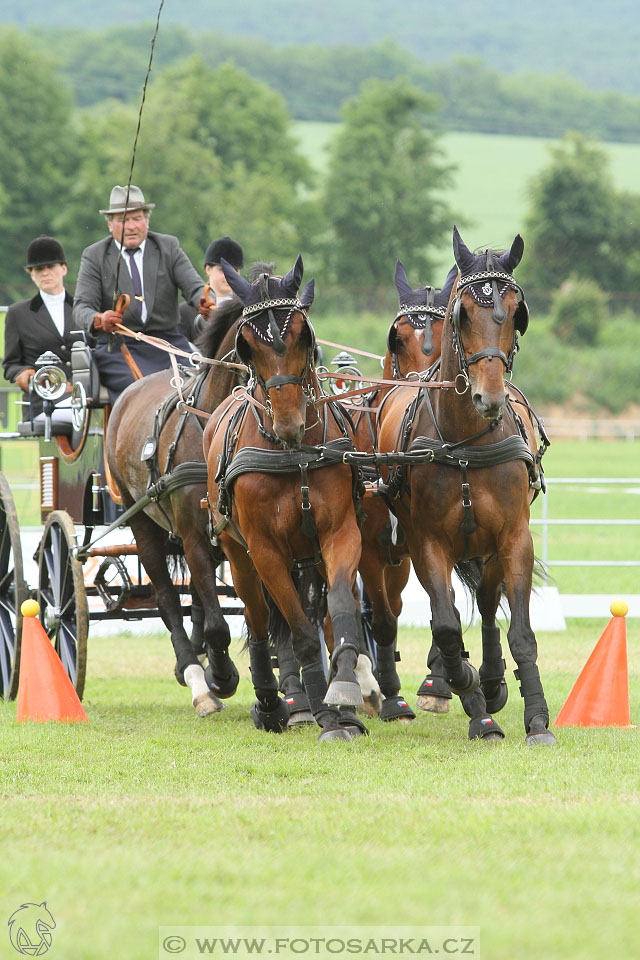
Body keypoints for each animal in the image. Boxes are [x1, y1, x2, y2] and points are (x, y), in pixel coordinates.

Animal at [105, 296, 245, 716]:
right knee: (168, 599)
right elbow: (215, 623)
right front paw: (220, 676)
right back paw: (194, 674)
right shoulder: (195, 535)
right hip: (143, 522)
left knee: (196, 597)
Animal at [202, 255, 368, 744]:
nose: (290, 422)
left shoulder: (340, 534)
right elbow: (299, 634)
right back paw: (272, 704)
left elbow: (339, 610)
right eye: (246, 345)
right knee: (258, 622)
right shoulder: (266, 551)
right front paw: (326, 716)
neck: (293, 454)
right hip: (238, 554)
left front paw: (344, 691)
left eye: (303, 336)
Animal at [378, 227, 552, 752]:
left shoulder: (514, 538)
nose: (487, 397)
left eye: (516, 312)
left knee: (492, 604)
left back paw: (494, 680)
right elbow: (446, 625)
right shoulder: (426, 544)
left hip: (489, 546)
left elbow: (520, 631)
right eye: (465, 312)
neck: (465, 444)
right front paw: (474, 703)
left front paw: (537, 719)